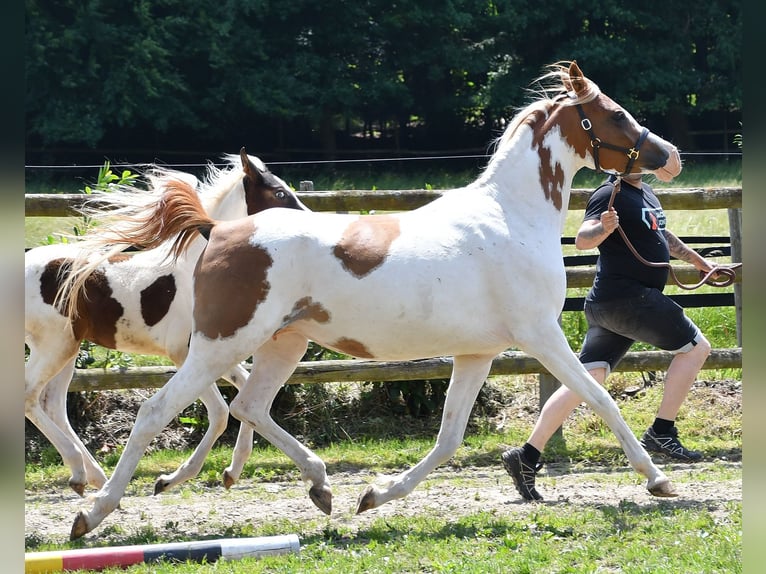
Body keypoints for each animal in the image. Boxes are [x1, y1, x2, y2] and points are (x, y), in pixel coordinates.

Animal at [25, 149, 309, 498]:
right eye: (279, 193)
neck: (194, 269)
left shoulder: (215, 351)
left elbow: (241, 392)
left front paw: (231, 470)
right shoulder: (185, 353)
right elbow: (219, 412)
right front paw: (172, 479)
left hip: (68, 347)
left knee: (52, 403)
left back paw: (94, 477)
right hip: (54, 346)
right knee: (30, 395)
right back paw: (82, 472)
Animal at [68, 61, 682, 540]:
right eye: (615, 114)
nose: (670, 156)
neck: (511, 217)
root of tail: (218, 230)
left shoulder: (477, 353)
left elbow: (449, 437)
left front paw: (374, 496)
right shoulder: (541, 335)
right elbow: (598, 400)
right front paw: (659, 480)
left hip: (282, 345)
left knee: (248, 407)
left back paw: (321, 488)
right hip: (221, 344)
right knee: (157, 411)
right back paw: (92, 514)